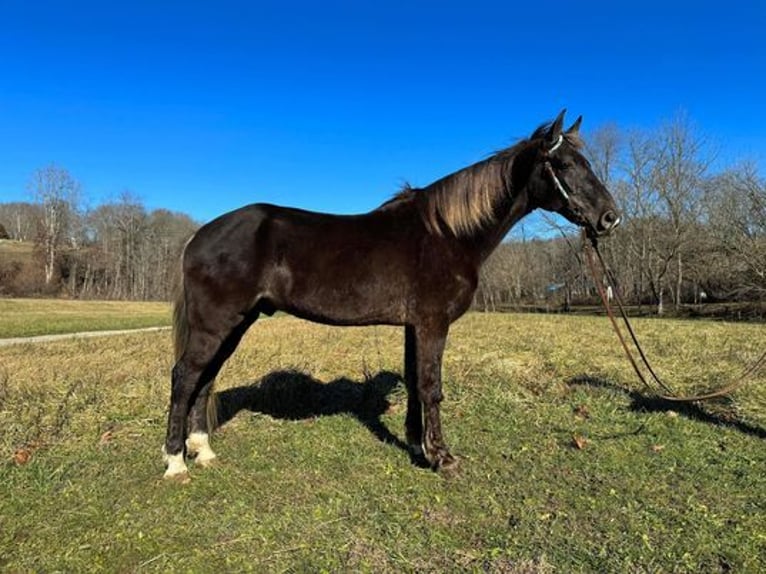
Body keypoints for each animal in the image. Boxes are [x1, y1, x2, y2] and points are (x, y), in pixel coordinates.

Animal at [164, 111, 624, 482]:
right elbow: (432, 386)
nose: (610, 218)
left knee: (205, 378)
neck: (448, 233)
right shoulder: (433, 324)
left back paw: (202, 450)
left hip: (235, 324)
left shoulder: (413, 325)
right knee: (185, 377)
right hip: (217, 323)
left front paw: (418, 445)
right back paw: (175, 462)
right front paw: (443, 458)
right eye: (564, 164)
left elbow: (416, 381)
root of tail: (198, 236)